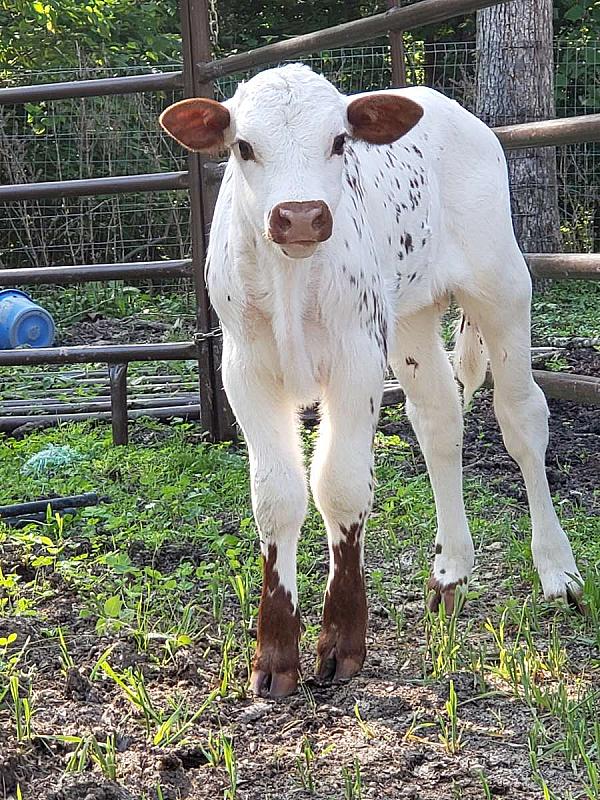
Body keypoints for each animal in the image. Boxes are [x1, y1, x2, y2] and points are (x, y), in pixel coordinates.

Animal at [160, 64, 583, 699]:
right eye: (243, 147)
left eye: (340, 141)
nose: (300, 216)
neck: (293, 279)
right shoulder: (244, 367)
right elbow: (276, 494)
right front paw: (275, 654)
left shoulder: (357, 358)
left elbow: (339, 484)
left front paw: (342, 643)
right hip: (410, 319)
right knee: (438, 421)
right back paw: (450, 573)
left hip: (503, 286)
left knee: (521, 418)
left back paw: (557, 569)